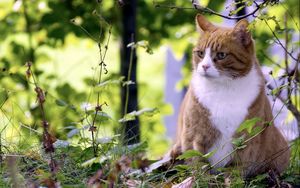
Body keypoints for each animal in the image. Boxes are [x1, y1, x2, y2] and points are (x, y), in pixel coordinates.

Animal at [168, 13, 290, 177]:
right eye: (200, 53)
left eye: (221, 55)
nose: (204, 66)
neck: (223, 88)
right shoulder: (194, 133)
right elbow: (197, 163)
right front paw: (203, 178)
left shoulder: (249, 135)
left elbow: (238, 167)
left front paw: (230, 178)